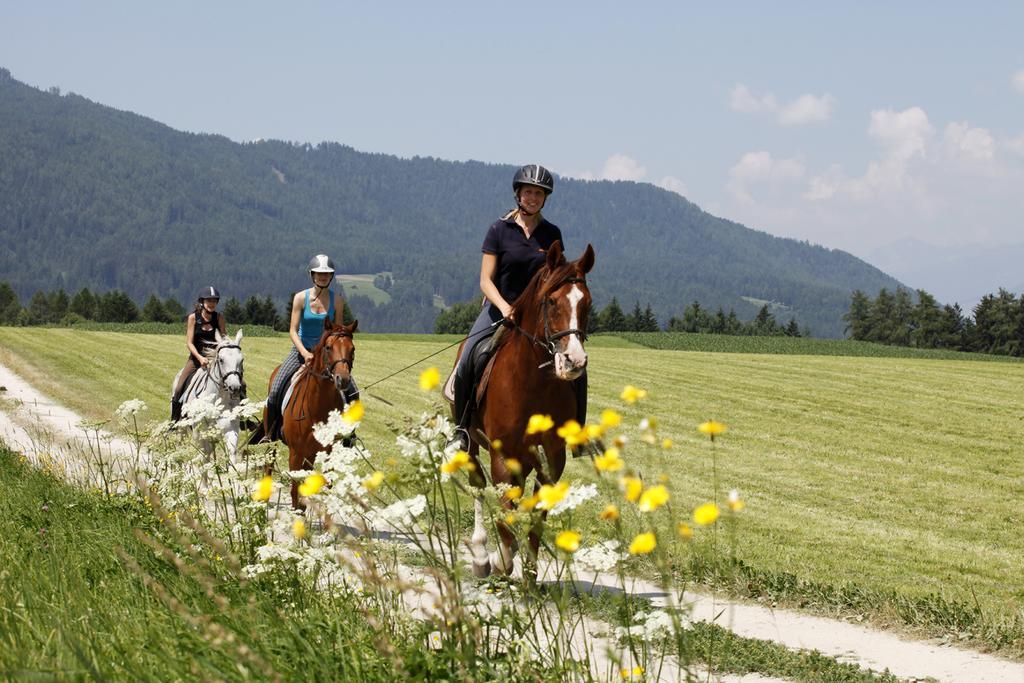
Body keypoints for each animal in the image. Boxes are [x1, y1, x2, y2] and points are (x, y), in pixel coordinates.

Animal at [172, 327, 245, 456]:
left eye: (241, 360)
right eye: (221, 360)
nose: (234, 387)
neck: (218, 399)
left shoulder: (231, 430)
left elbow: (231, 452)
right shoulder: (199, 433)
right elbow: (204, 453)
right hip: (181, 425)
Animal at [266, 319, 358, 507]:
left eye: (352, 349)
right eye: (328, 347)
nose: (343, 379)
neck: (317, 407)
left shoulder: (328, 452)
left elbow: (325, 485)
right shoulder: (295, 453)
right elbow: (294, 491)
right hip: (273, 440)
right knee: (268, 464)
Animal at [454, 242, 593, 581]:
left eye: (587, 303)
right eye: (552, 301)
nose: (574, 361)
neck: (533, 383)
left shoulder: (552, 458)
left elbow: (537, 514)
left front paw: (530, 572)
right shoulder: (503, 455)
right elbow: (506, 513)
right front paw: (501, 560)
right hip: (471, 442)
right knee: (478, 487)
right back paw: (481, 555)